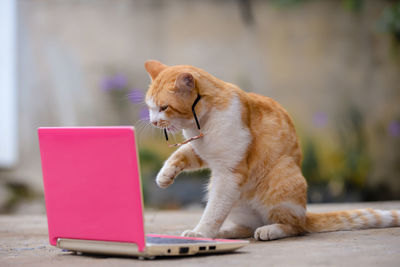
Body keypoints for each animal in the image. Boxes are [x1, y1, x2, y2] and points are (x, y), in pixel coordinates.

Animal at [144, 60, 400, 241]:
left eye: (164, 107)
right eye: (149, 107)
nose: (153, 122)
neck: (201, 124)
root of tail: (305, 213)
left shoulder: (229, 173)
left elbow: (213, 212)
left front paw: (201, 233)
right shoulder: (200, 151)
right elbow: (180, 155)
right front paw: (164, 176)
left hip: (280, 177)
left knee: (295, 227)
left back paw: (270, 230)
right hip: (233, 199)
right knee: (247, 227)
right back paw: (228, 232)